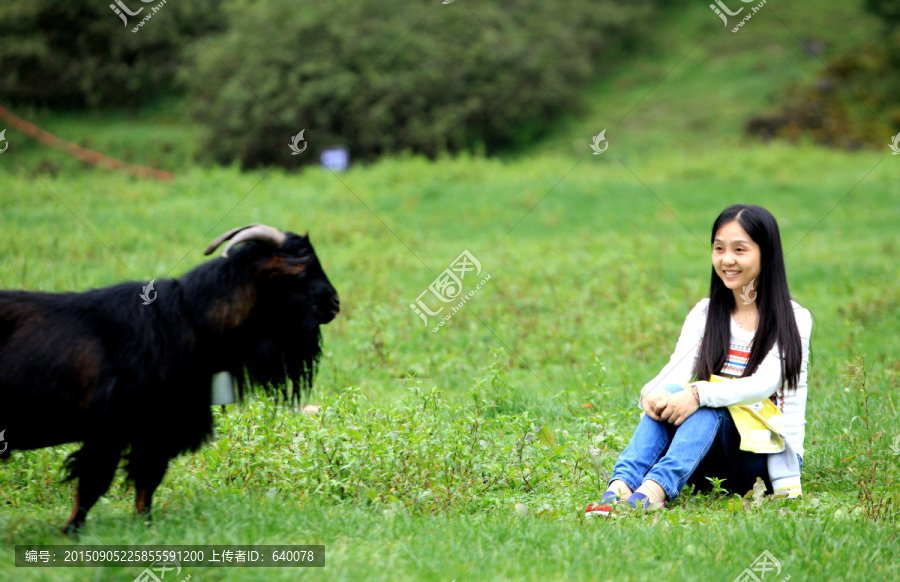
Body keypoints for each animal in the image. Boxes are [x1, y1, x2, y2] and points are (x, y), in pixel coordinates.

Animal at [0, 226, 338, 536]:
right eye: (304, 271)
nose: (334, 302)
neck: (187, 320)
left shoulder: (156, 431)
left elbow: (146, 482)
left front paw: (146, 527)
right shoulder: (112, 429)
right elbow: (94, 483)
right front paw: (72, 531)